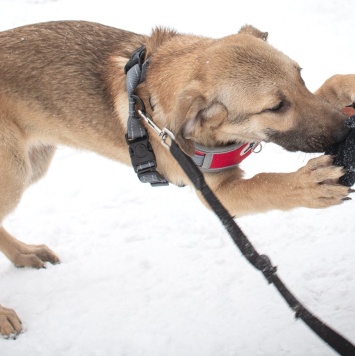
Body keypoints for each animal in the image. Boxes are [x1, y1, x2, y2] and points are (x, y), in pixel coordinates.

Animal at [0, 20, 354, 338]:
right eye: (276, 106)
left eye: (301, 76)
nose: (344, 131)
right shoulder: (218, 193)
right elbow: (266, 183)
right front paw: (308, 185)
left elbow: (329, 84)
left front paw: (347, 83)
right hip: (14, 172)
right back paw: (4, 313)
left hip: (34, 162)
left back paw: (25, 254)